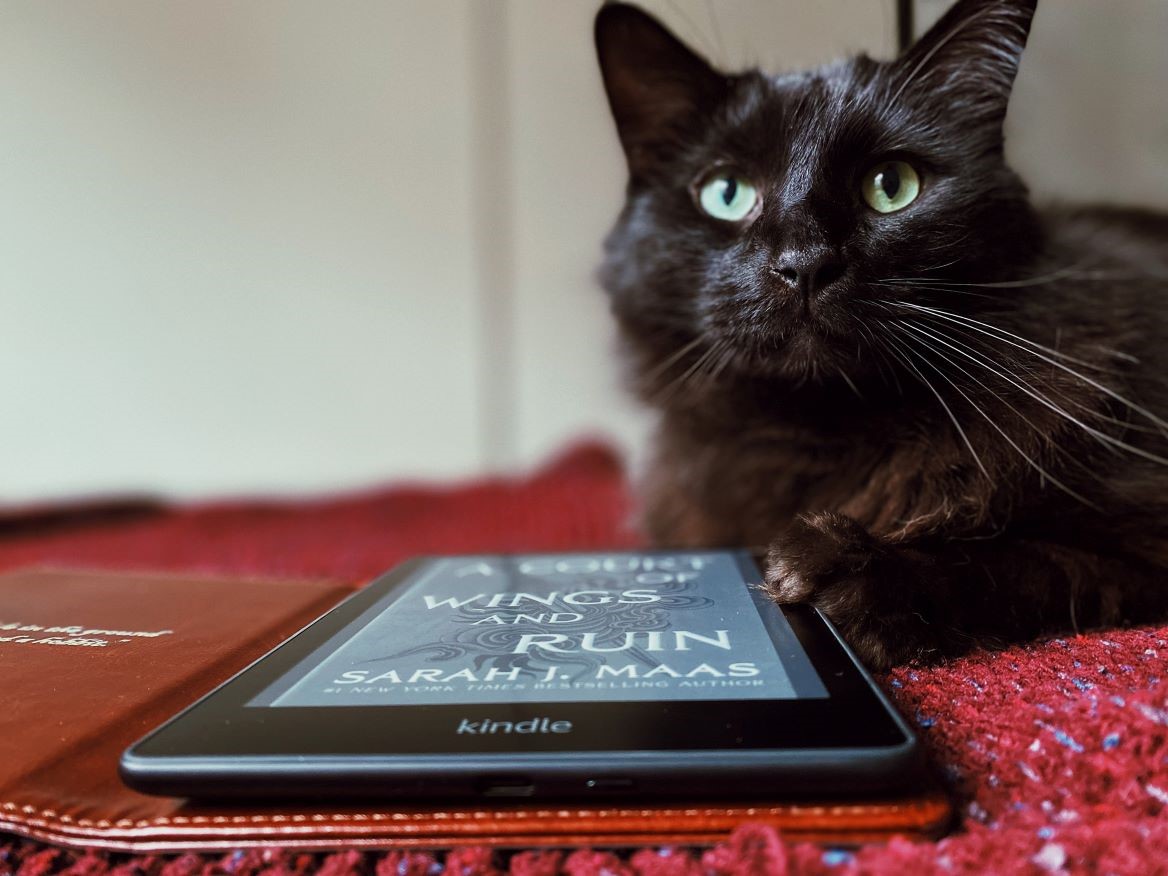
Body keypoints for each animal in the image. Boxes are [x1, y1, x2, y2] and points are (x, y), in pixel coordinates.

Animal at [593, 0, 1168, 668]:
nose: (804, 262)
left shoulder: (1139, 542)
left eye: (891, 184)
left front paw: (845, 569)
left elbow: (1021, 565)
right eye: (726, 193)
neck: (823, 433)